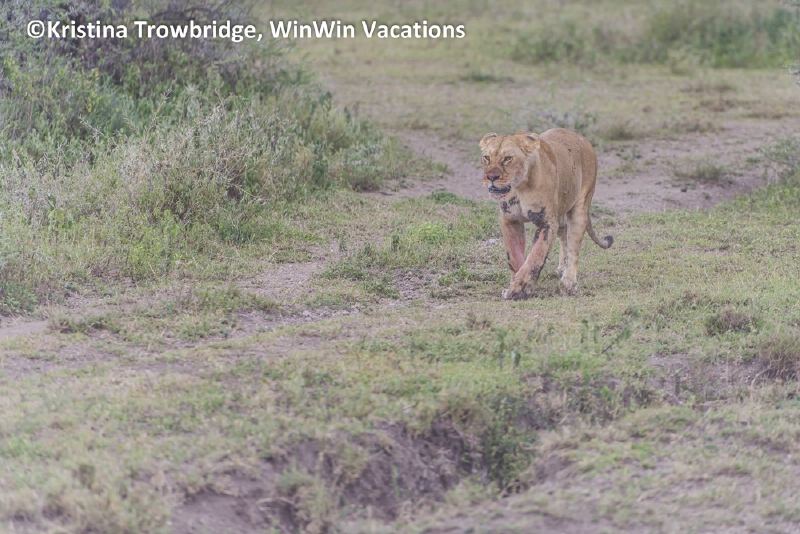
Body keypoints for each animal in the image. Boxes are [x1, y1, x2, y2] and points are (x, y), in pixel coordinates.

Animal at [479, 128, 613, 300]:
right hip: (561, 214)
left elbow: (535, 256)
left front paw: (520, 289)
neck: (519, 187)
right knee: (564, 236)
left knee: (573, 248)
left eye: (508, 158)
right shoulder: (510, 220)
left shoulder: (547, 222)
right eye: (487, 157)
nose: (491, 177)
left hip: (580, 208)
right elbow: (514, 257)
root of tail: (581, 137)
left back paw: (568, 282)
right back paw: (561, 269)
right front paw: (514, 286)